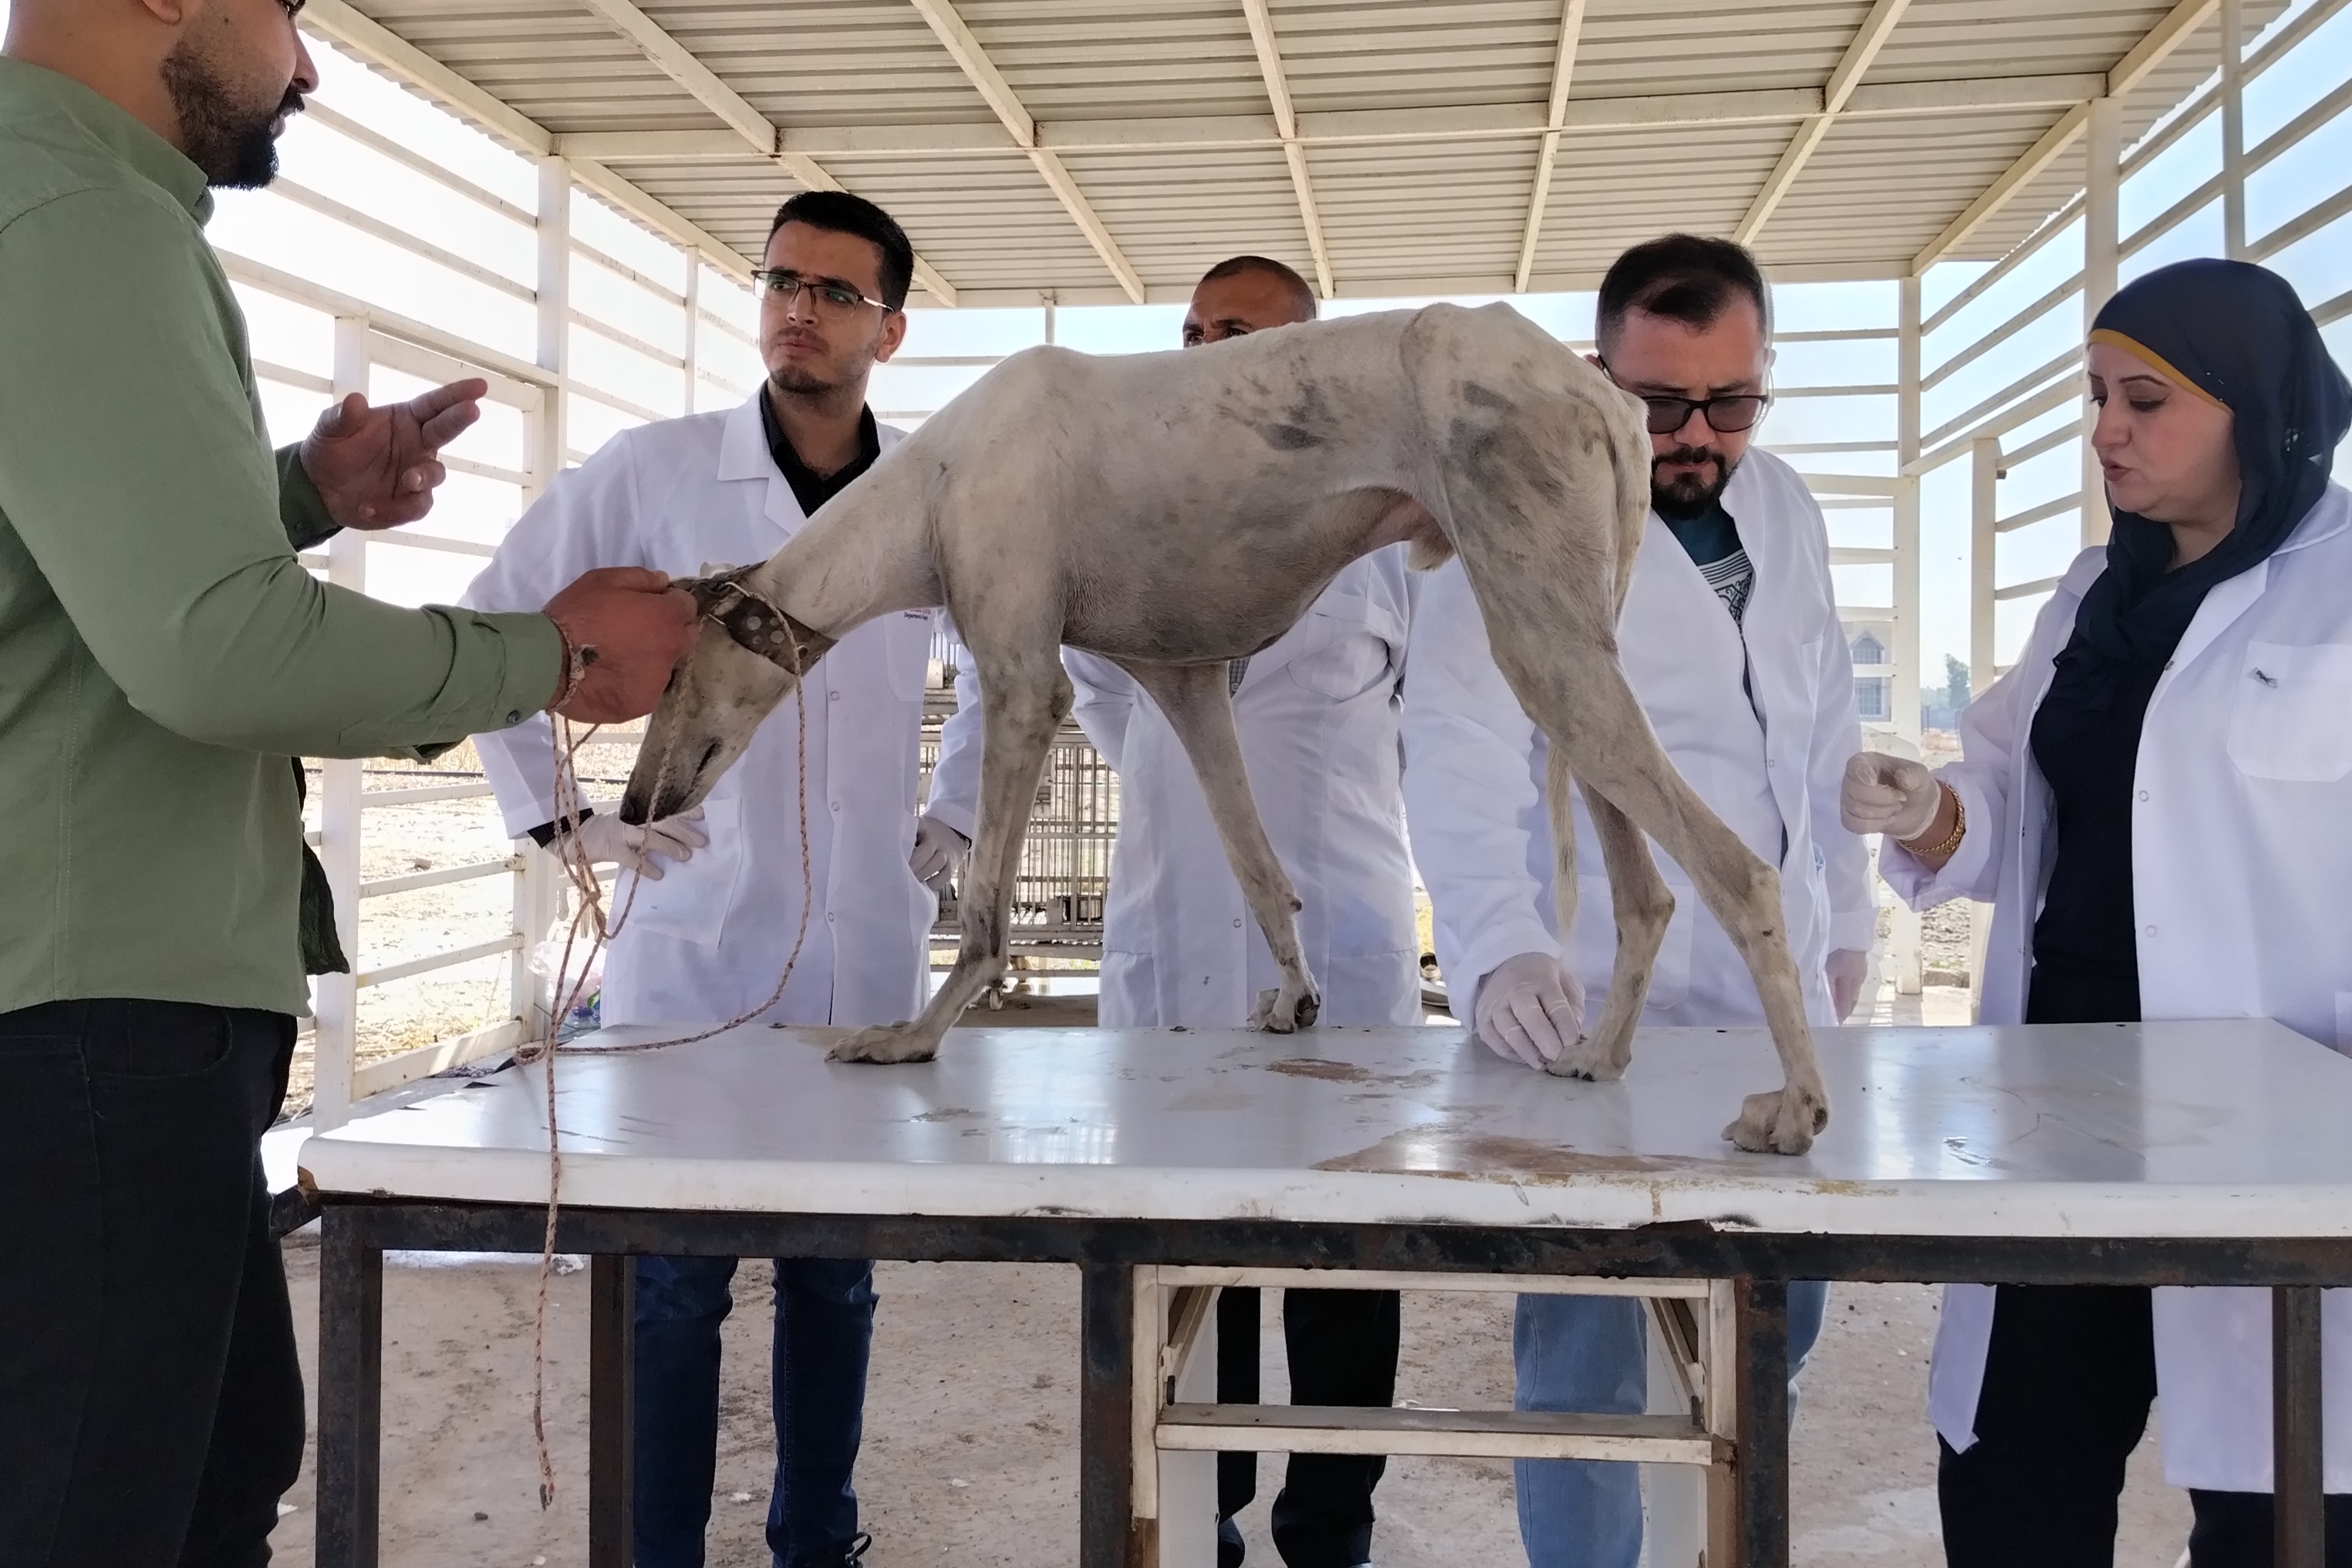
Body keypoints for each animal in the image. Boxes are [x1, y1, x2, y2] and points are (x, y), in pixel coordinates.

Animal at [620, 302, 1827, 1154]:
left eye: (669, 671)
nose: (631, 808)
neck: (930, 480)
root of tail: (1604, 398)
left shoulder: (1023, 684)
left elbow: (986, 908)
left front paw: (916, 1032)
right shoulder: (1187, 681)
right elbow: (1258, 867)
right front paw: (1294, 998)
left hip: (1545, 642)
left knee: (1738, 872)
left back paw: (1793, 1109)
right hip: (1573, 651)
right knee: (1651, 890)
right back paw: (1597, 1055)